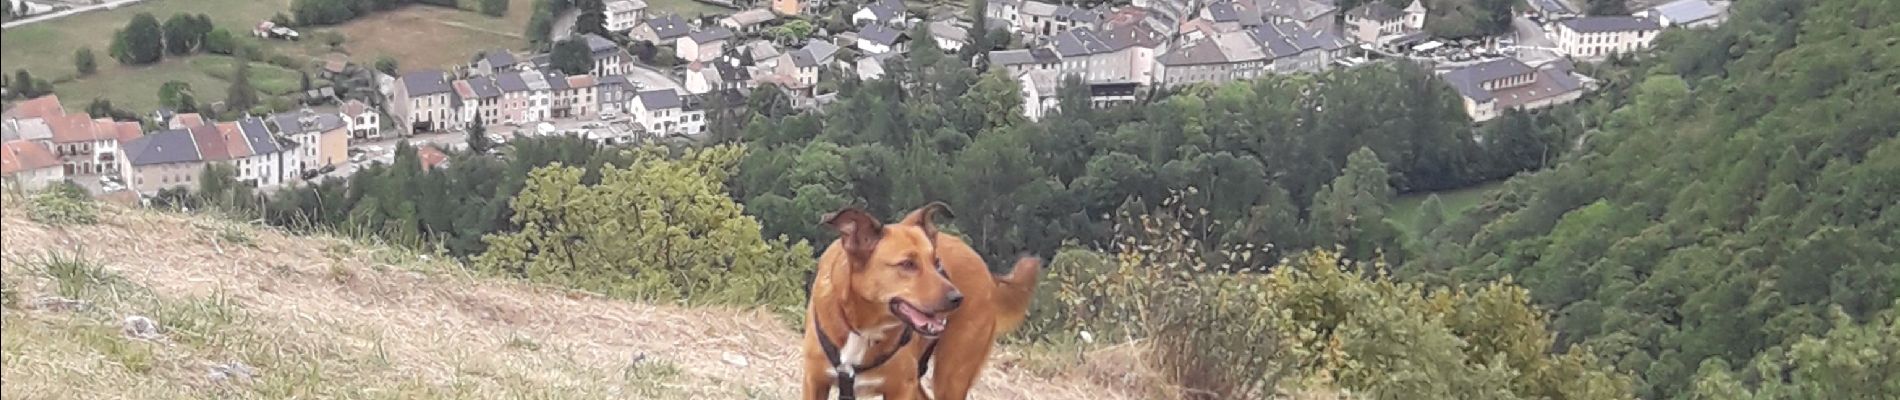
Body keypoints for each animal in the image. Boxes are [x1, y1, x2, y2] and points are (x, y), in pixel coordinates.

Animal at [801, 202, 1041, 400]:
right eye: (908, 264)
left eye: (936, 263)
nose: (958, 299)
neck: (864, 327)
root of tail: (989, 274)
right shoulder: (814, 381)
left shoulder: (900, 388)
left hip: (952, 376)